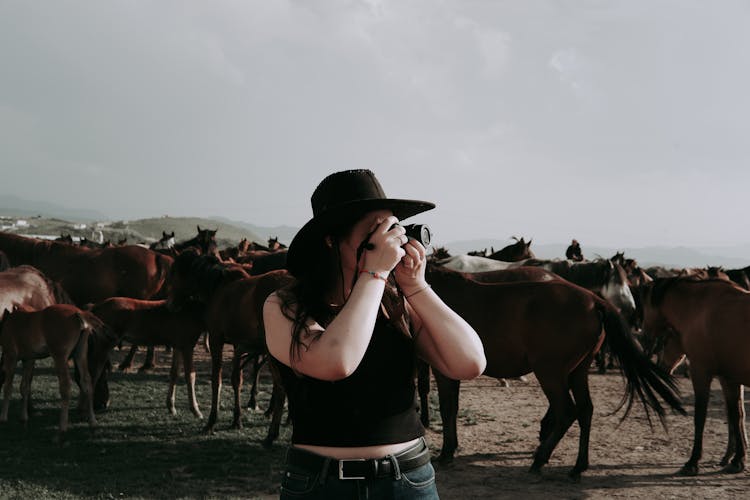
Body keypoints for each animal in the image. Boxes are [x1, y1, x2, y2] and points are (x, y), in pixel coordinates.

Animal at [0, 302, 110, 436]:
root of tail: (79, 312)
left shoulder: (11, 356)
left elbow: (8, 387)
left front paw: (3, 417)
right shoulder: (29, 360)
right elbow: (24, 387)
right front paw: (24, 417)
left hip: (59, 357)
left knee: (65, 386)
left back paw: (62, 426)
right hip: (80, 354)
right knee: (87, 382)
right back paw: (92, 421)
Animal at [168, 250, 294, 446]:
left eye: (174, 271)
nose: (171, 304)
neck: (218, 288)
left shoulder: (215, 339)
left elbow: (217, 380)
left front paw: (211, 422)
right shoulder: (237, 344)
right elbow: (236, 380)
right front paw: (236, 419)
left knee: (281, 387)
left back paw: (272, 434)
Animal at [426, 266, 684, 480]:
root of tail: (594, 301)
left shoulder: (441, 369)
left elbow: (447, 408)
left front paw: (446, 453)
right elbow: (451, 406)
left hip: (550, 371)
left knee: (567, 411)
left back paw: (540, 459)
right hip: (578, 371)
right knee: (585, 409)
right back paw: (578, 466)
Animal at [640, 278, 750, 476]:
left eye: (644, 306)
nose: (644, 335)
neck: (700, 308)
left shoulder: (701, 373)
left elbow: (700, 417)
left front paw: (692, 462)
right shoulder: (730, 379)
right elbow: (736, 416)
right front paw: (737, 460)